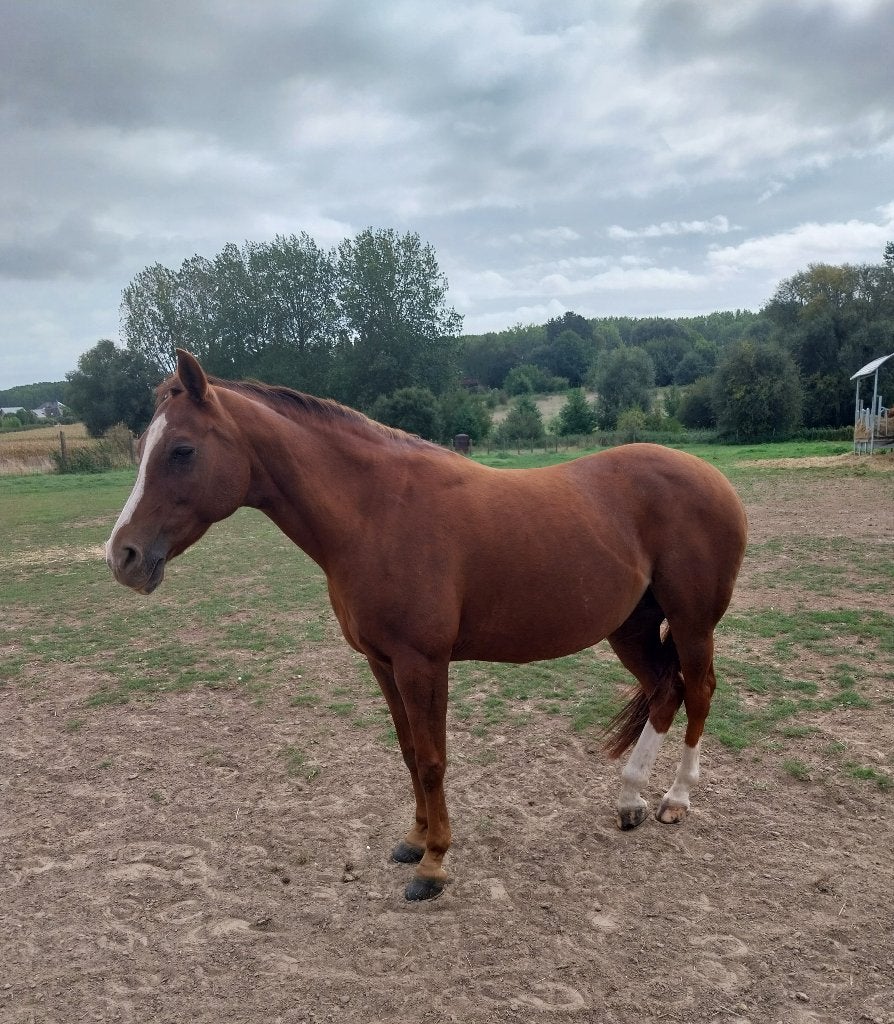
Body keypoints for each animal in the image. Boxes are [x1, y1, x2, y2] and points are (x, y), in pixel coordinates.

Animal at [106, 349, 748, 901]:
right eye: (142, 448)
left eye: (182, 450)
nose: (123, 557)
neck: (375, 513)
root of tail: (712, 477)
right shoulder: (382, 661)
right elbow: (410, 751)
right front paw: (414, 841)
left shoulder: (423, 662)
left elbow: (435, 758)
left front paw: (435, 863)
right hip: (630, 628)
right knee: (665, 690)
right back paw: (630, 799)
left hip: (692, 624)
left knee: (698, 691)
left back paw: (675, 800)